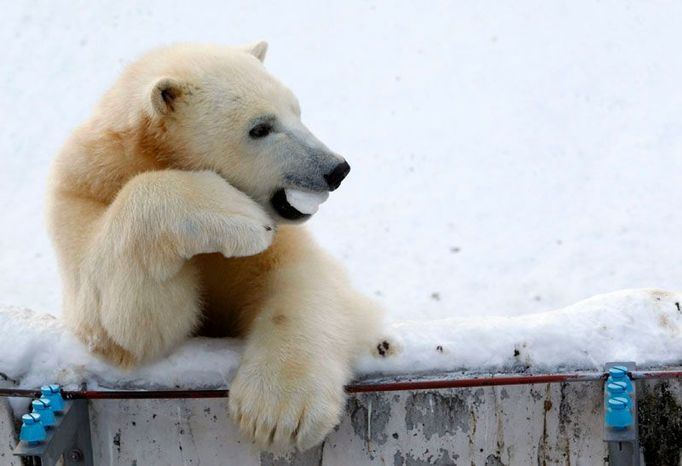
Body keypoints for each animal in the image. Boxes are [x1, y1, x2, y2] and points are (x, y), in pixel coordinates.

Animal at [45, 41, 386, 450]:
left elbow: (305, 280)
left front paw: (278, 412)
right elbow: (127, 325)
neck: (146, 154)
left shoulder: (281, 245)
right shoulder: (81, 198)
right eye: (260, 128)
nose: (336, 169)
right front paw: (235, 213)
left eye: (297, 110)